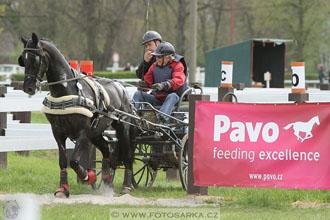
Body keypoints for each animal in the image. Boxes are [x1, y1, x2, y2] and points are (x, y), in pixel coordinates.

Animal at [18, 33, 135, 198]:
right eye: (23, 59)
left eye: (34, 59)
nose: (28, 88)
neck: (67, 92)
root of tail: (120, 86)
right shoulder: (58, 133)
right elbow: (63, 161)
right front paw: (63, 188)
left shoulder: (83, 133)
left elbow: (73, 161)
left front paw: (87, 176)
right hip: (96, 133)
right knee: (106, 150)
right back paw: (107, 181)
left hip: (122, 127)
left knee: (128, 155)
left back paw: (126, 186)